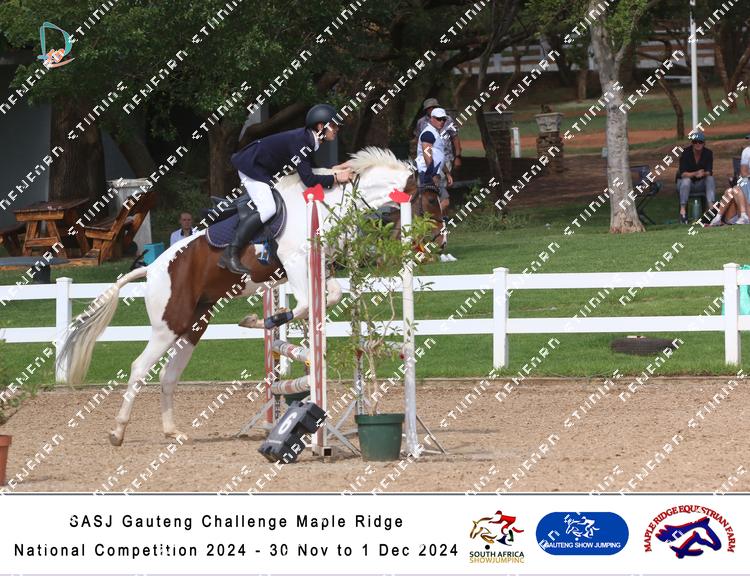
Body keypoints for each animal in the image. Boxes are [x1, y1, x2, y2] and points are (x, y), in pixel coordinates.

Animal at [59, 147, 441, 446]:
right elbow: (306, 304)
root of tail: (151, 269)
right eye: (428, 199)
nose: (438, 242)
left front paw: (265, 323)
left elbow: (328, 295)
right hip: (168, 325)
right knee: (140, 368)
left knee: (168, 375)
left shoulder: (319, 268)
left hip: (192, 327)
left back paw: (172, 432)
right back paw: (117, 432)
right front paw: (264, 320)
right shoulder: (295, 264)